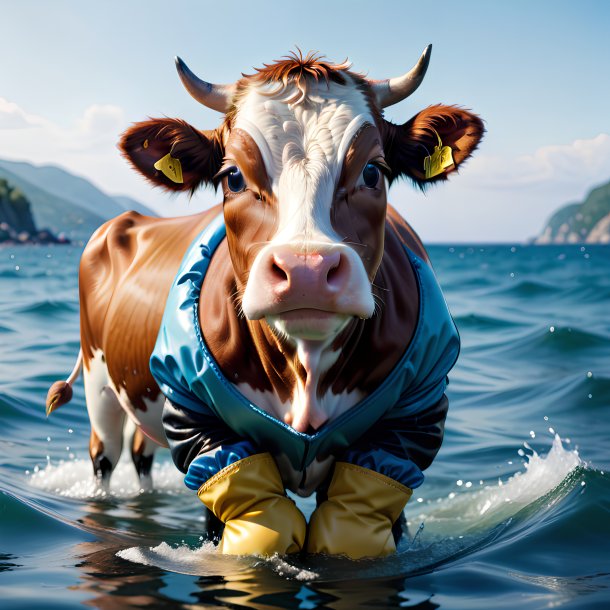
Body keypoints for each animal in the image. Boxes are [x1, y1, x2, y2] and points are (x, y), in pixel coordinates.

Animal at [46, 47, 484, 556]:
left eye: (373, 171)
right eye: (233, 176)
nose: (307, 270)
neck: (306, 371)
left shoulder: (410, 423)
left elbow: (360, 522)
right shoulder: (200, 421)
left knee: (141, 454)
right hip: (99, 383)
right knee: (105, 457)